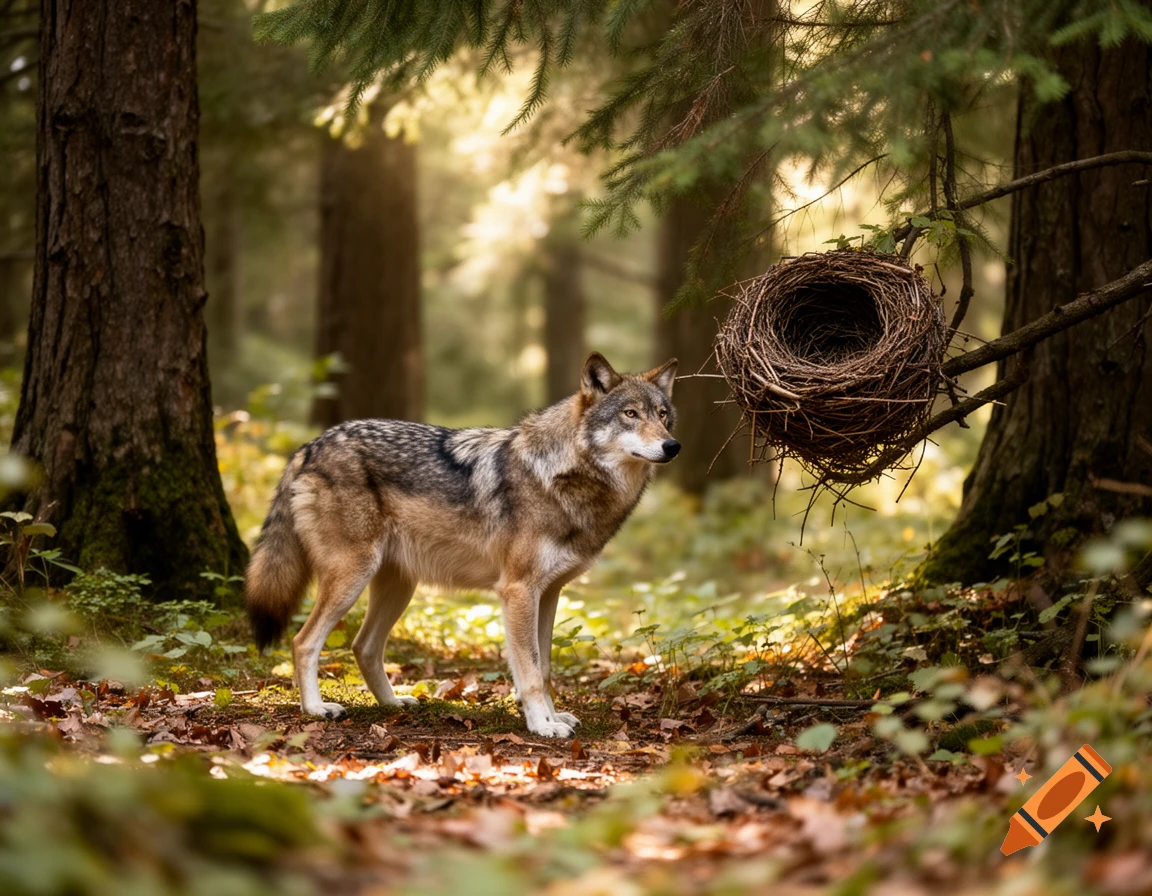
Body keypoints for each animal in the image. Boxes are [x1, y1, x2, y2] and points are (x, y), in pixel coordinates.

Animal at [245, 353, 679, 738]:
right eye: (630, 414)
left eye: (662, 415)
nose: (672, 446)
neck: (560, 474)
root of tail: (310, 446)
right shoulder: (518, 591)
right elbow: (529, 671)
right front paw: (542, 726)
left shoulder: (549, 593)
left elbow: (544, 669)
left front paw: (554, 717)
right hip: (352, 577)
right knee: (303, 642)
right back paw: (316, 709)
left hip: (397, 587)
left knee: (363, 647)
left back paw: (393, 703)